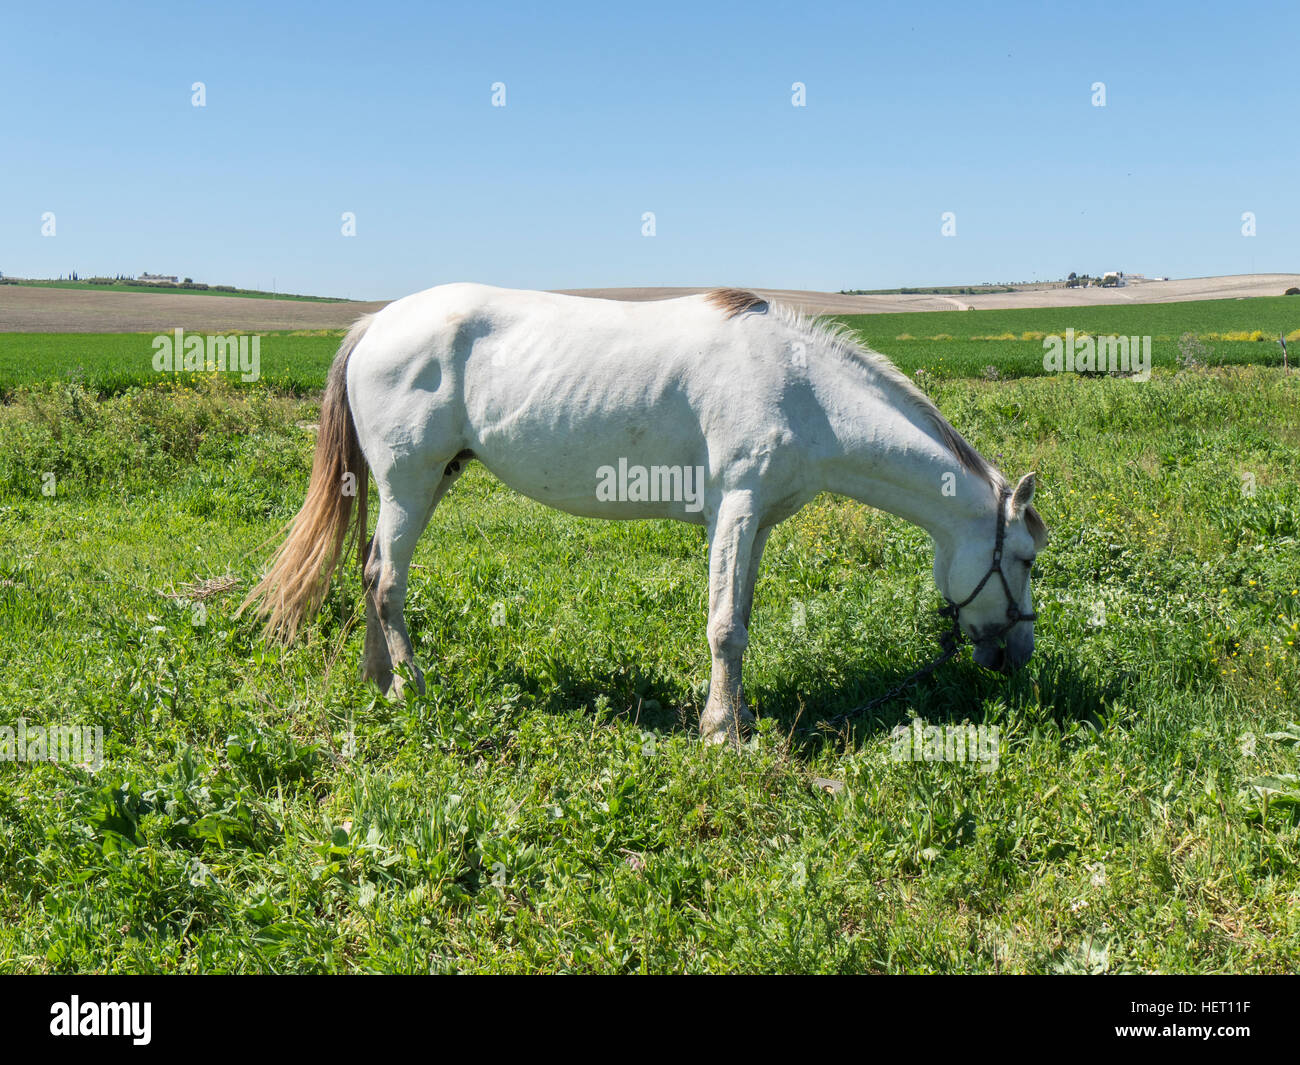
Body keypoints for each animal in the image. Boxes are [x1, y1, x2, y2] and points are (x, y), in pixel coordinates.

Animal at [242, 284, 1048, 744]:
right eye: (1025, 560)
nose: (1015, 657)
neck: (804, 390)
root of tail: (376, 323)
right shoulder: (736, 508)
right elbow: (724, 627)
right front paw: (721, 733)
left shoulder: (755, 523)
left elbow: (740, 616)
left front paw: (739, 716)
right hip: (410, 483)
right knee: (386, 584)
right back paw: (414, 688)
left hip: (424, 481)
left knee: (373, 570)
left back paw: (380, 682)